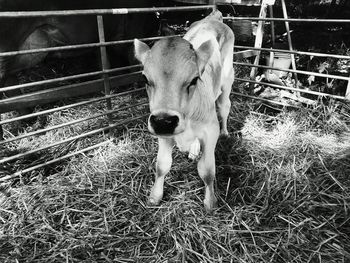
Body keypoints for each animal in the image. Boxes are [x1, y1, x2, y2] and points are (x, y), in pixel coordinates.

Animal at [134, 10, 235, 213]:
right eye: (145, 79)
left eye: (194, 79)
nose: (164, 121)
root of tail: (213, 18)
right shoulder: (162, 133)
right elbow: (162, 165)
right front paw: (154, 197)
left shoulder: (210, 131)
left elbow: (207, 171)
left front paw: (210, 203)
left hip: (227, 80)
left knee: (225, 107)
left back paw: (226, 133)